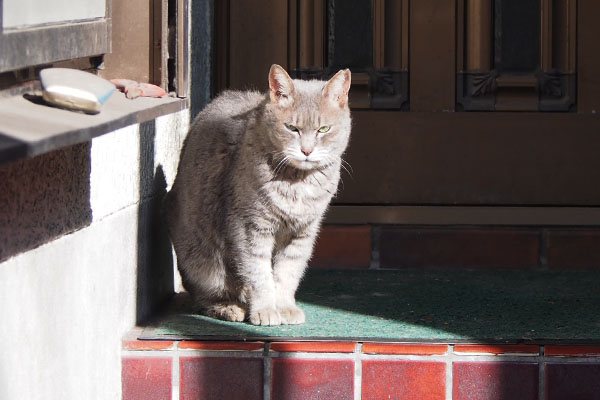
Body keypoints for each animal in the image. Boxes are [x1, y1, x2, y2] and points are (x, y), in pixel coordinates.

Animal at [164, 65, 352, 324]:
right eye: (291, 128)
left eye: (323, 129)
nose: (306, 151)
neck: (297, 183)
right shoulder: (250, 227)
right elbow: (259, 273)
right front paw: (266, 310)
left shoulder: (302, 232)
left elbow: (287, 272)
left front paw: (284, 307)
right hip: (203, 260)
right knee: (205, 297)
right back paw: (230, 308)